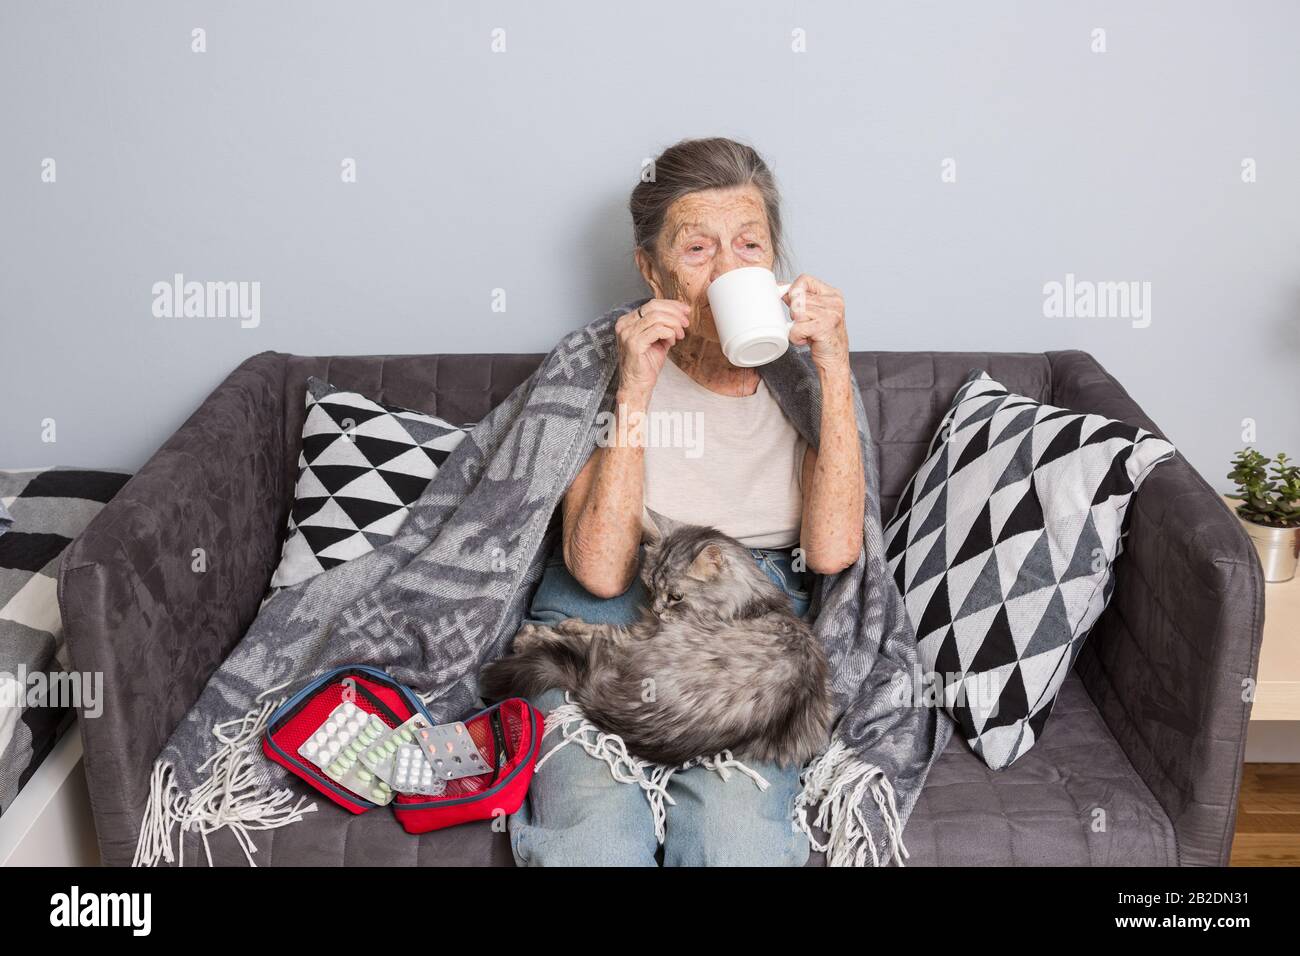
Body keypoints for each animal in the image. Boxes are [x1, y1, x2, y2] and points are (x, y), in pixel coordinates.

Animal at [480, 512, 832, 764]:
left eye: (676, 596)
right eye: (650, 586)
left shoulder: (642, 633)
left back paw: (529, 636)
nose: (657, 609)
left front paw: (559, 628)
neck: (748, 602)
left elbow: (594, 630)